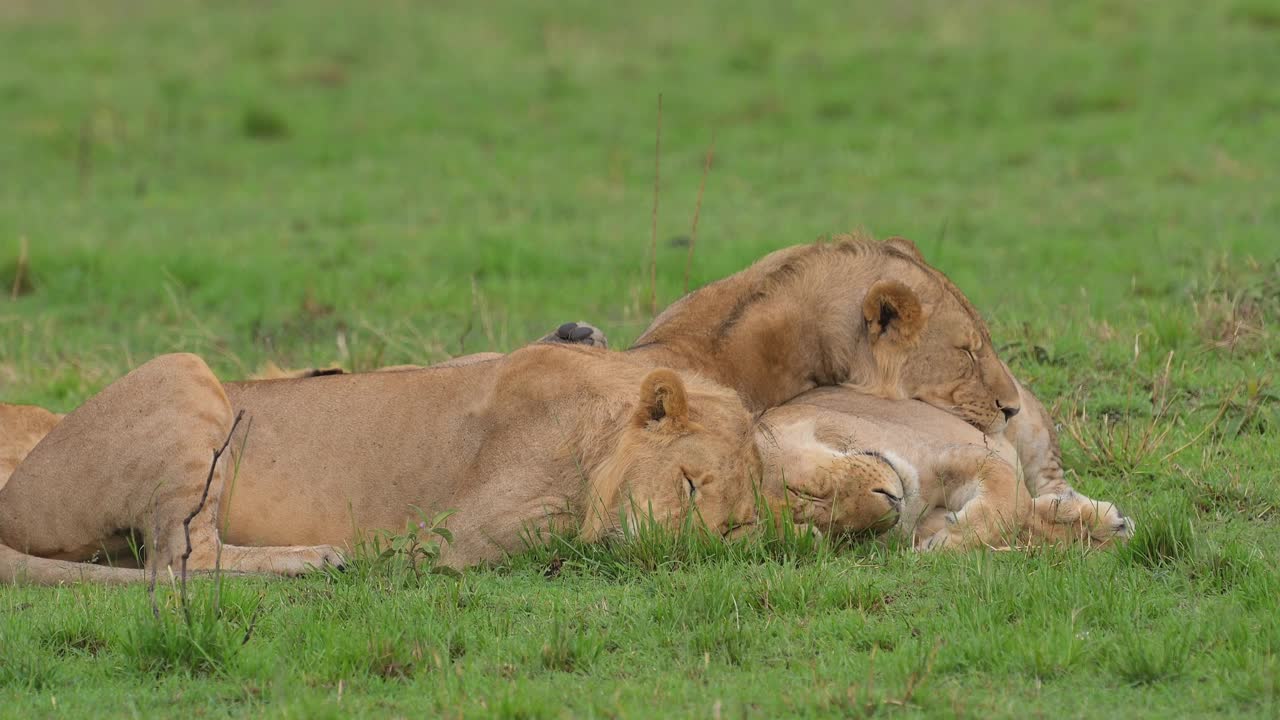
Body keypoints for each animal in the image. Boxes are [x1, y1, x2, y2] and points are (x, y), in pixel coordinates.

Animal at [0, 340, 906, 584]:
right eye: (687, 484)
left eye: (727, 529)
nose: (656, 545)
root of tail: (15, 493)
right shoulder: (466, 536)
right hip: (186, 372)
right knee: (179, 558)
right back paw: (319, 558)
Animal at [752, 386, 1136, 548]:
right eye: (834, 529)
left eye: (811, 489)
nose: (890, 500)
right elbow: (1023, 518)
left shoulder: (962, 454)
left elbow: (1011, 500)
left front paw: (952, 539)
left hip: (1031, 427)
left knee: (1049, 481)